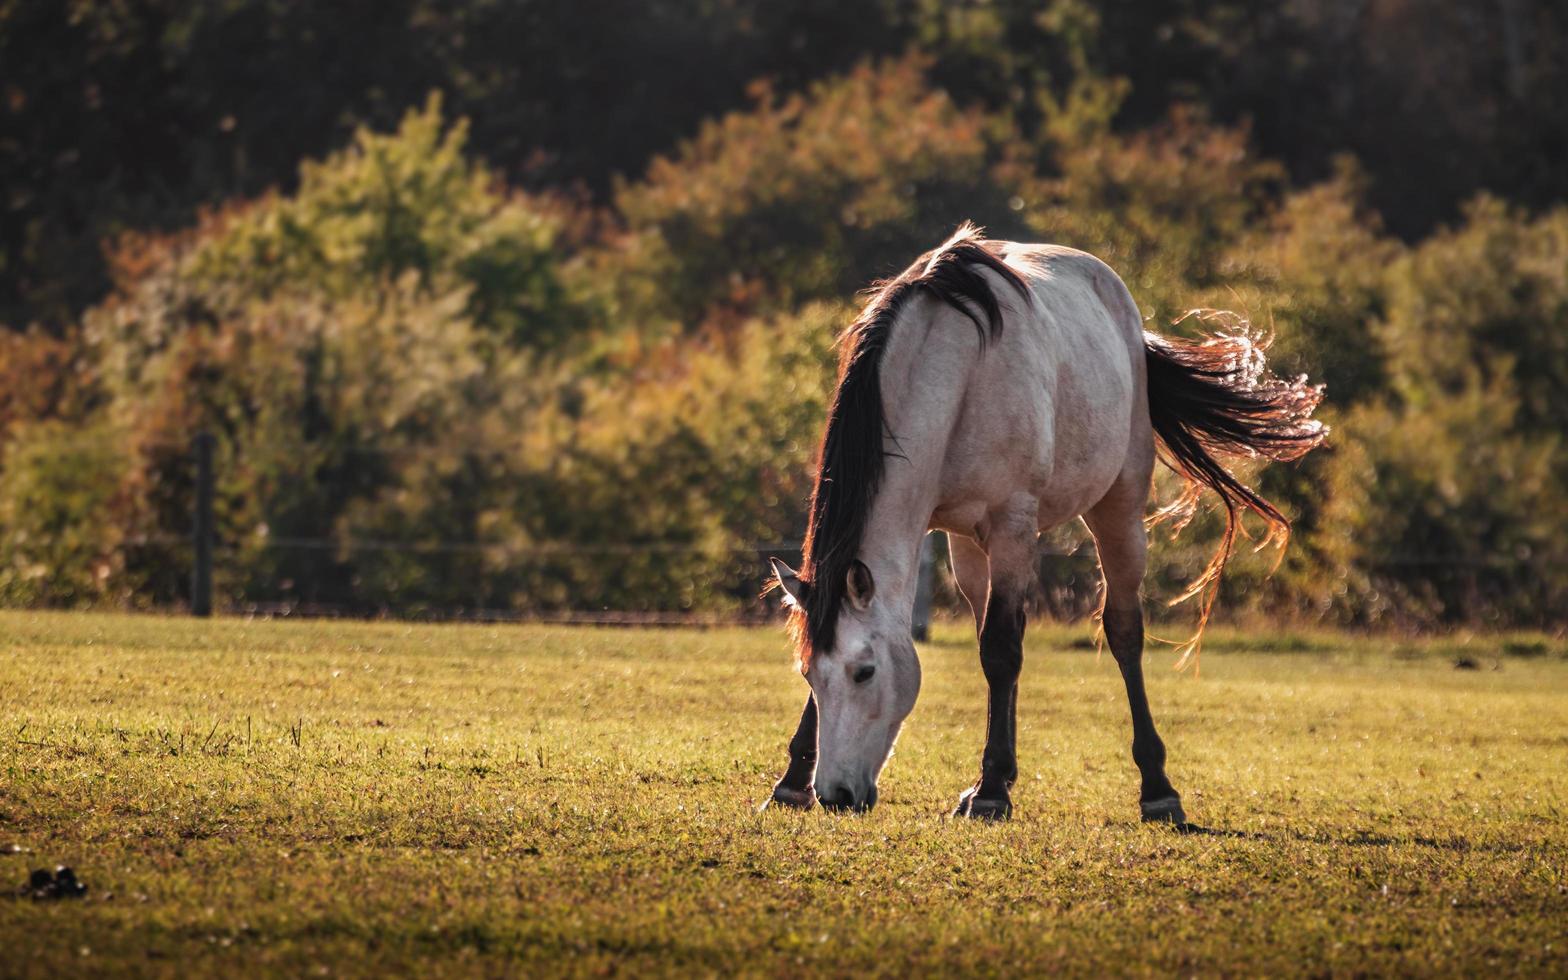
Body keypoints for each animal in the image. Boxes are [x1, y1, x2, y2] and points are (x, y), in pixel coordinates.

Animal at [758, 224, 1323, 815]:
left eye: (864, 672)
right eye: (809, 673)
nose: (836, 794)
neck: (953, 365)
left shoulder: (1012, 524)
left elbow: (1001, 650)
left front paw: (988, 793)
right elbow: (996, 646)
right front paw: (792, 781)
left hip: (1117, 510)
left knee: (1121, 631)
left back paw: (1157, 789)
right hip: (970, 548)